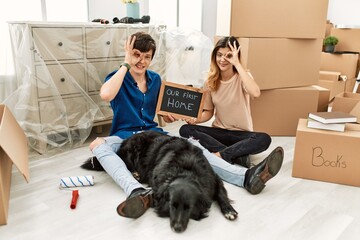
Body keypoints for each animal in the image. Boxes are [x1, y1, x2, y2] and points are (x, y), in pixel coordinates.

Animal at [82, 131, 239, 232]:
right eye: (172, 205)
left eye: (189, 208)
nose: (177, 228)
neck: (186, 170)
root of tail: (127, 139)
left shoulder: (213, 178)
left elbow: (222, 194)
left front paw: (229, 210)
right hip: (133, 151)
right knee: (126, 164)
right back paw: (135, 174)